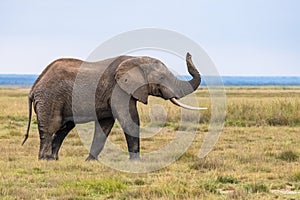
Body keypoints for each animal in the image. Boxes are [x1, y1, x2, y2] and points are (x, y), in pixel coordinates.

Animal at [21, 52, 204, 160]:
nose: (189, 53)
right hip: (50, 99)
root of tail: (34, 87)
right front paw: (136, 162)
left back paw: (54, 159)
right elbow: (129, 119)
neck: (135, 58)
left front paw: (90, 161)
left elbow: (105, 126)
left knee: (64, 127)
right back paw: (45, 160)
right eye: (161, 78)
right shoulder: (118, 89)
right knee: (52, 126)